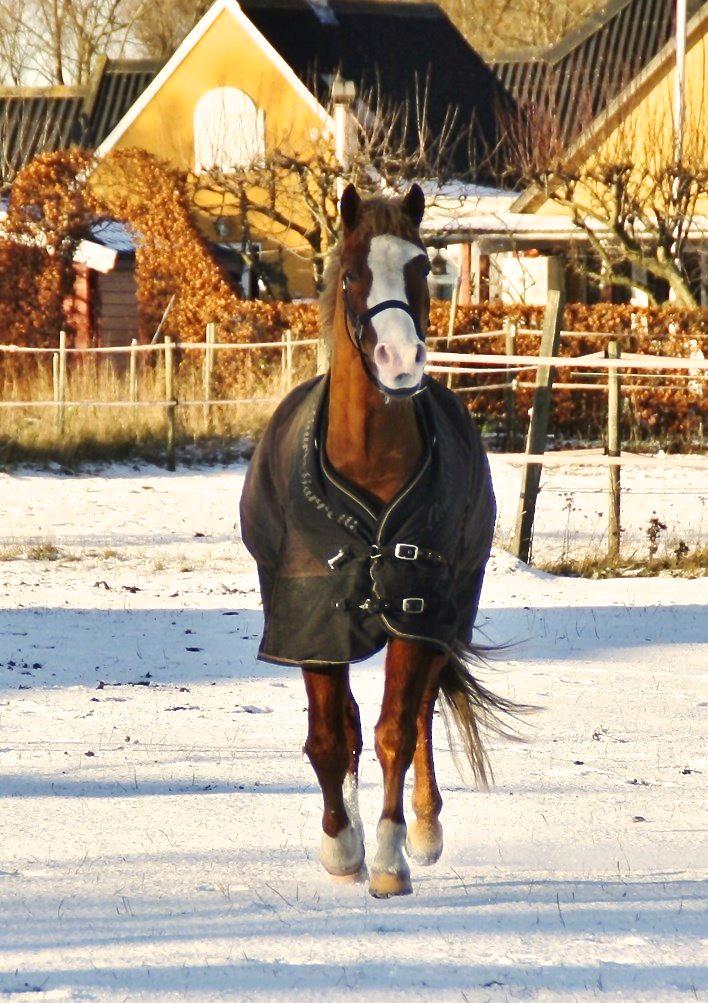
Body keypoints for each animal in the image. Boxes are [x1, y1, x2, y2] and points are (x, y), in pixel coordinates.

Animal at [238, 184, 513, 898]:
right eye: (354, 273)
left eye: (422, 268)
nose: (400, 360)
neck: (369, 463)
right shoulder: (313, 624)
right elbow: (332, 737)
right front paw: (341, 847)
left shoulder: (417, 616)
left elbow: (395, 731)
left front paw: (389, 860)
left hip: (442, 620)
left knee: (417, 718)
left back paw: (424, 829)